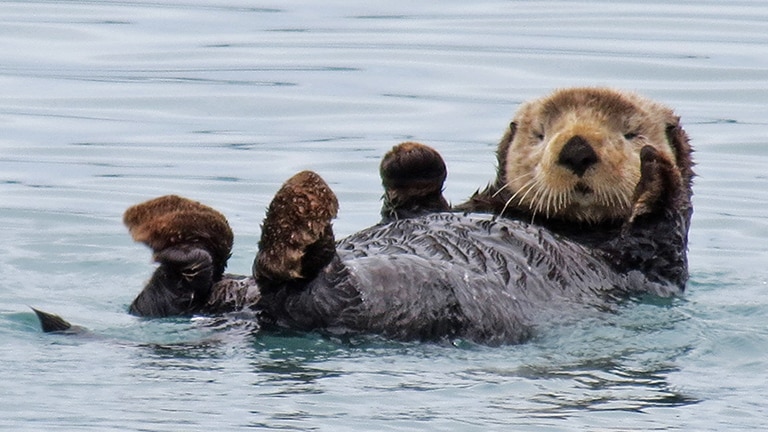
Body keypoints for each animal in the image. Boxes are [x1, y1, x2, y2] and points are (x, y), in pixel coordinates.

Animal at [102, 87, 688, 344]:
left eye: (631, 133)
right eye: (542, 133)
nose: (577, 148)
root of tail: (249, 315)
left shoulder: (651, 262)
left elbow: (660, 221)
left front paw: (656, 172)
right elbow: (414, 198)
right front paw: (412, 156)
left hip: (399, 298)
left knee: (310, 289)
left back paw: (295, 221)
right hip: (227, 294)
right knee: (174, 294)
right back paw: (183, 231)